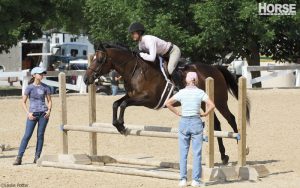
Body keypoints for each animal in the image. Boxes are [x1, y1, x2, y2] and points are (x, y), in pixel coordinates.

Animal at [83, 44, 250, 164]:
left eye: (99, 60)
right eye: (93, 58)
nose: (86, 79)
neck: (135, 70)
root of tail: (215, 68)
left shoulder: (147, 99)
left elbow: (123, 104)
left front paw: (122, 126)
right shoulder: (131, 95)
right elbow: (116, 103)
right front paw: (117, 125)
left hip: (220, 101)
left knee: (231, 119)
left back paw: (243, 148)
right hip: (204, 103)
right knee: (216, 124)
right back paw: (223, 156)